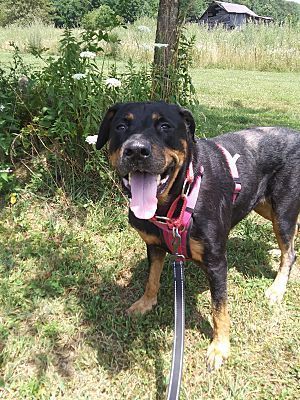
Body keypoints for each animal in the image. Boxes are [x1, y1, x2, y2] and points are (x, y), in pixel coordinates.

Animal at [96, 101, 300, 370]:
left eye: (165, 126)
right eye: (120, 126)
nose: (136, 151)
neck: (175, 202)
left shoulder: (216, 262)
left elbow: (219, 308)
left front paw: (220, 347)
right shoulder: (154, 246)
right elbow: (152, 279)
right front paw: (145, 303)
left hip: (283, 210)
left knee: (290, 251)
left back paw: (277, 288)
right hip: (264, 206)